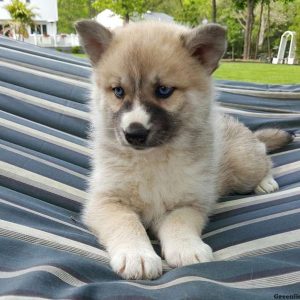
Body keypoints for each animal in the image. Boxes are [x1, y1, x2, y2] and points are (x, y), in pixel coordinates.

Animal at [74, 19, 292, 280]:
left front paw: (187, 248)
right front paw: (137, 255)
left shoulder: (189, 203)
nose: (134, 133)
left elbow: (179, 222)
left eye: (164, 90)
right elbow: (126, 222)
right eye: (118, 91)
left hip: (244, 165)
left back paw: (266, 182)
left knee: (264, 156)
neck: (153, 159)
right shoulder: (105, 201)